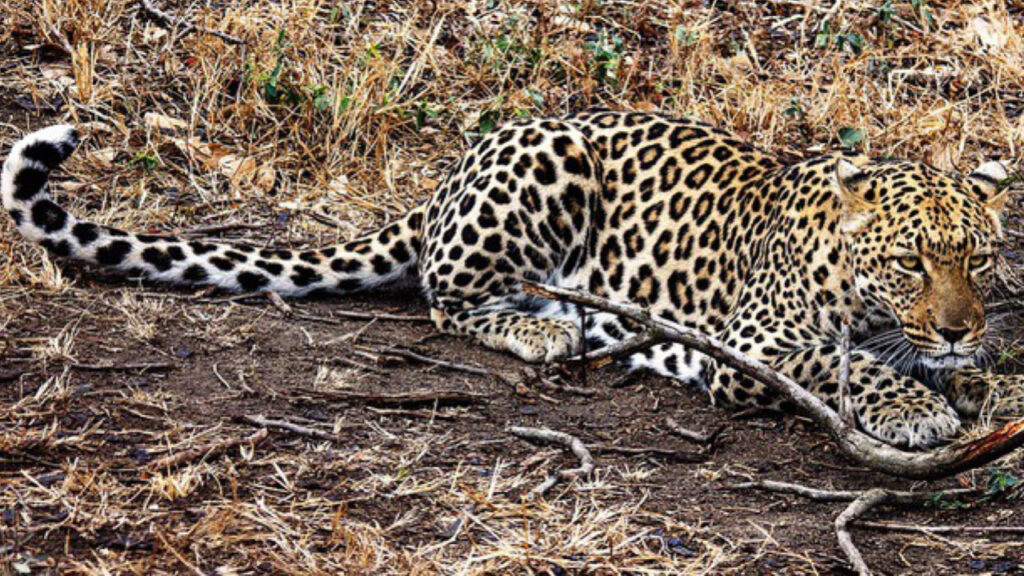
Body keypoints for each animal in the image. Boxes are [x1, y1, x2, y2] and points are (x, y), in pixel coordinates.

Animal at [4, 109, 1019, 446]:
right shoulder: (753, 344)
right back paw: (544, 326)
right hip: (549, 169)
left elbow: (965, 369)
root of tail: (448, 176)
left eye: (977, 257)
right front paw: (918, 405)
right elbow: (851, 365)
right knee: (443, 300)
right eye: (910, 261)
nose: (960, 325)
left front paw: (984, 383)